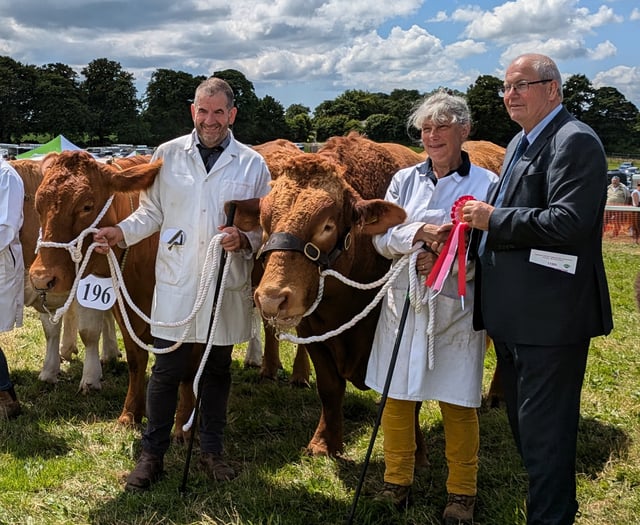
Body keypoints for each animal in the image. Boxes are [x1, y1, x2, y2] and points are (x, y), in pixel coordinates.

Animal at [28, 149, 198, 432]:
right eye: (38, 206)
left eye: (86, 205)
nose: (41, 278)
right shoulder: (123, 309)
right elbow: (135, 358)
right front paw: (130, 413)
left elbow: (190, 366)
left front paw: (183, 423)